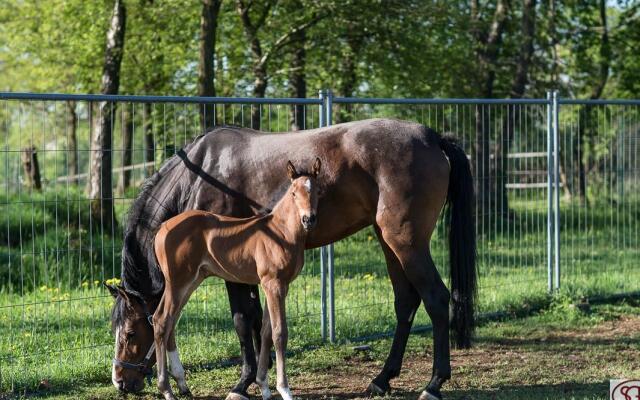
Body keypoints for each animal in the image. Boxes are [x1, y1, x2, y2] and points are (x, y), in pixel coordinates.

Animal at [150, 159, 320, 400]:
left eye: (316, 190)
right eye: (294, 193)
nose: (308, 219)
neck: (281, 232)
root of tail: (161, 229)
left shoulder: (276, 286)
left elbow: (266, 331)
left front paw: (264, 387)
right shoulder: (274, 284)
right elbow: (280, 333)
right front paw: (284, 389)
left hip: (191, 281)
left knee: (169, 320)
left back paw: (180, 384)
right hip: (177, 282)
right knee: (161, 320)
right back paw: (166, 390)